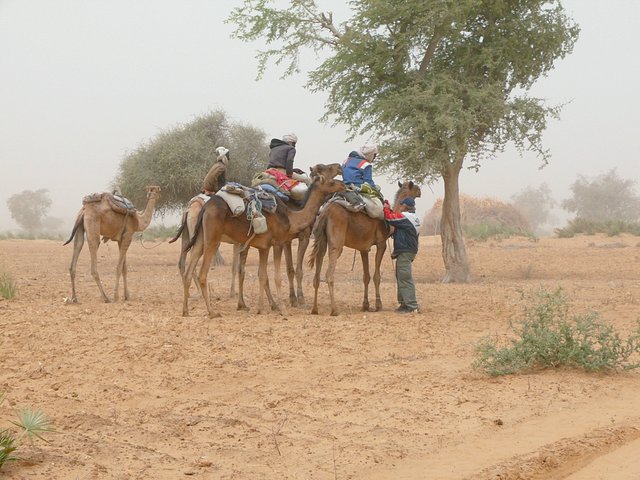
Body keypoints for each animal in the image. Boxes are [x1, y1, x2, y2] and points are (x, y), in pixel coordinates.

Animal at [182, 174, 348, 316]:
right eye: (330, 181)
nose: (343, 185)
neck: (291, 217)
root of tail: (205, 207)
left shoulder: (264, 247)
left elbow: (262, 276)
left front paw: (261, 308)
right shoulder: (278, 243)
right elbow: (276, 277)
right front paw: (283, 310)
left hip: (201, 238)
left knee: (188, 272)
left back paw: (186, 311)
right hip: (213, 238)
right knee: (202, 274)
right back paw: (212, 312)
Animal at [308, 180, 422, 316]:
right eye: (415, 187)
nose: (420, 191)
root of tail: (325, 213)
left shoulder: (363, 248)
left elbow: (366, 276)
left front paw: (365, 305)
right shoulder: (381, 244)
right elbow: (377, 276)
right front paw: (378, 305)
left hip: (320, 239)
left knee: (317, 272)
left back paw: (314, 309)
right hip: (336, 243)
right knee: (329, 274)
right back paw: (334, 310)